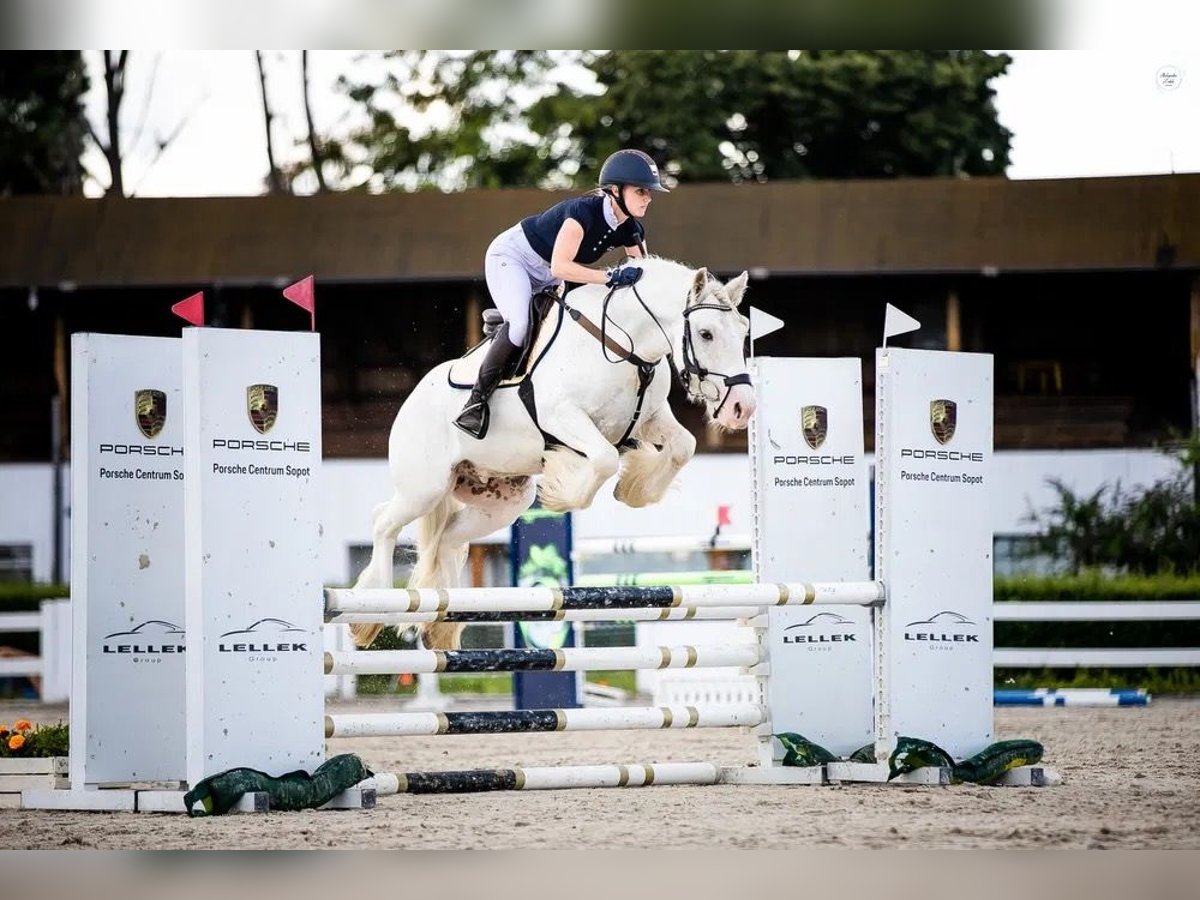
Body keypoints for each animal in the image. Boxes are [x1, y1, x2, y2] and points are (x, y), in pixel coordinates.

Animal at [350, 256, 753, 652]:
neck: (626, 346)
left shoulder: (650, 419)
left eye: (744, 330)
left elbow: (683, 446)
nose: (742, 408)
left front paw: (633, 490)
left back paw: (440, 628)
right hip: (425, 487)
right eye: (706, 334)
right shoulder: (562, 416)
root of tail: (411, 399)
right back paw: (371, 612)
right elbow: (604, 458)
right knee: (383, 521)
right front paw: (562, 485)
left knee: (445, 538)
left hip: (502, 501)